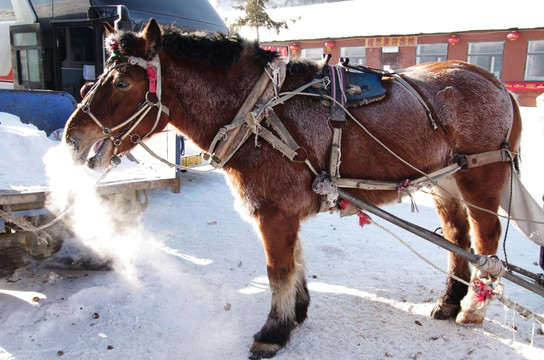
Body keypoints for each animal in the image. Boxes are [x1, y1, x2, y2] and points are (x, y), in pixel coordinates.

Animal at [63, 20, 524, 360]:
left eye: (122, 82)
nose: (72, 136)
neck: (257, 111)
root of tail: (496, 82)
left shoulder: (274, 212)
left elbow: (276, 271)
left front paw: (273, 331)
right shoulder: (283, 211)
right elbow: (296, 262)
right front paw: (297, 312)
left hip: (480, 178)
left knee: (486, 241)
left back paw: (473, 308)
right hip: (444, 181)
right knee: (457, 239)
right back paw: (449, 301)